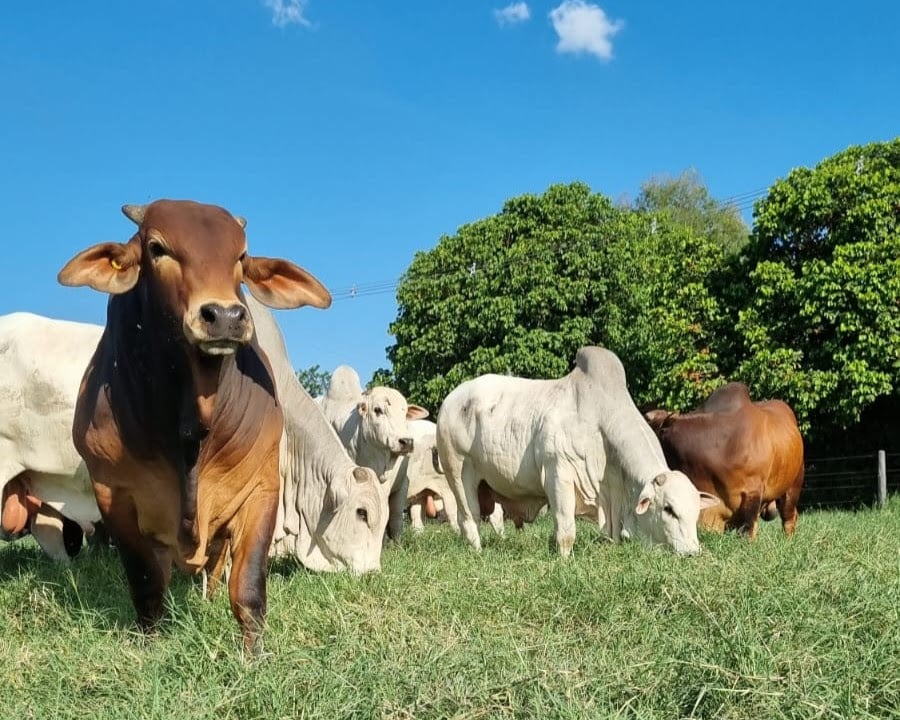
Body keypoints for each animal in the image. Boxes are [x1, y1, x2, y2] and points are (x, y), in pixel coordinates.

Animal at [60, 198, 334, 652]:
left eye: (241, 256)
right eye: (157, 248)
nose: (224, 315)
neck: (191, 426)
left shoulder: (261, 488)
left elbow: (247, 586)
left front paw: (253, 654)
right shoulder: (113, 494)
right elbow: (147, 583)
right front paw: (149, 643)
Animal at [436, 348, 716, 556]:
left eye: (695, 511)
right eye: (669, 509)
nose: (692, 552)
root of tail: (452, 398)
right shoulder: (558, 474)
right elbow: (566, 529)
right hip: (458, 473)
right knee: (468, 517)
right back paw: (477, 552)